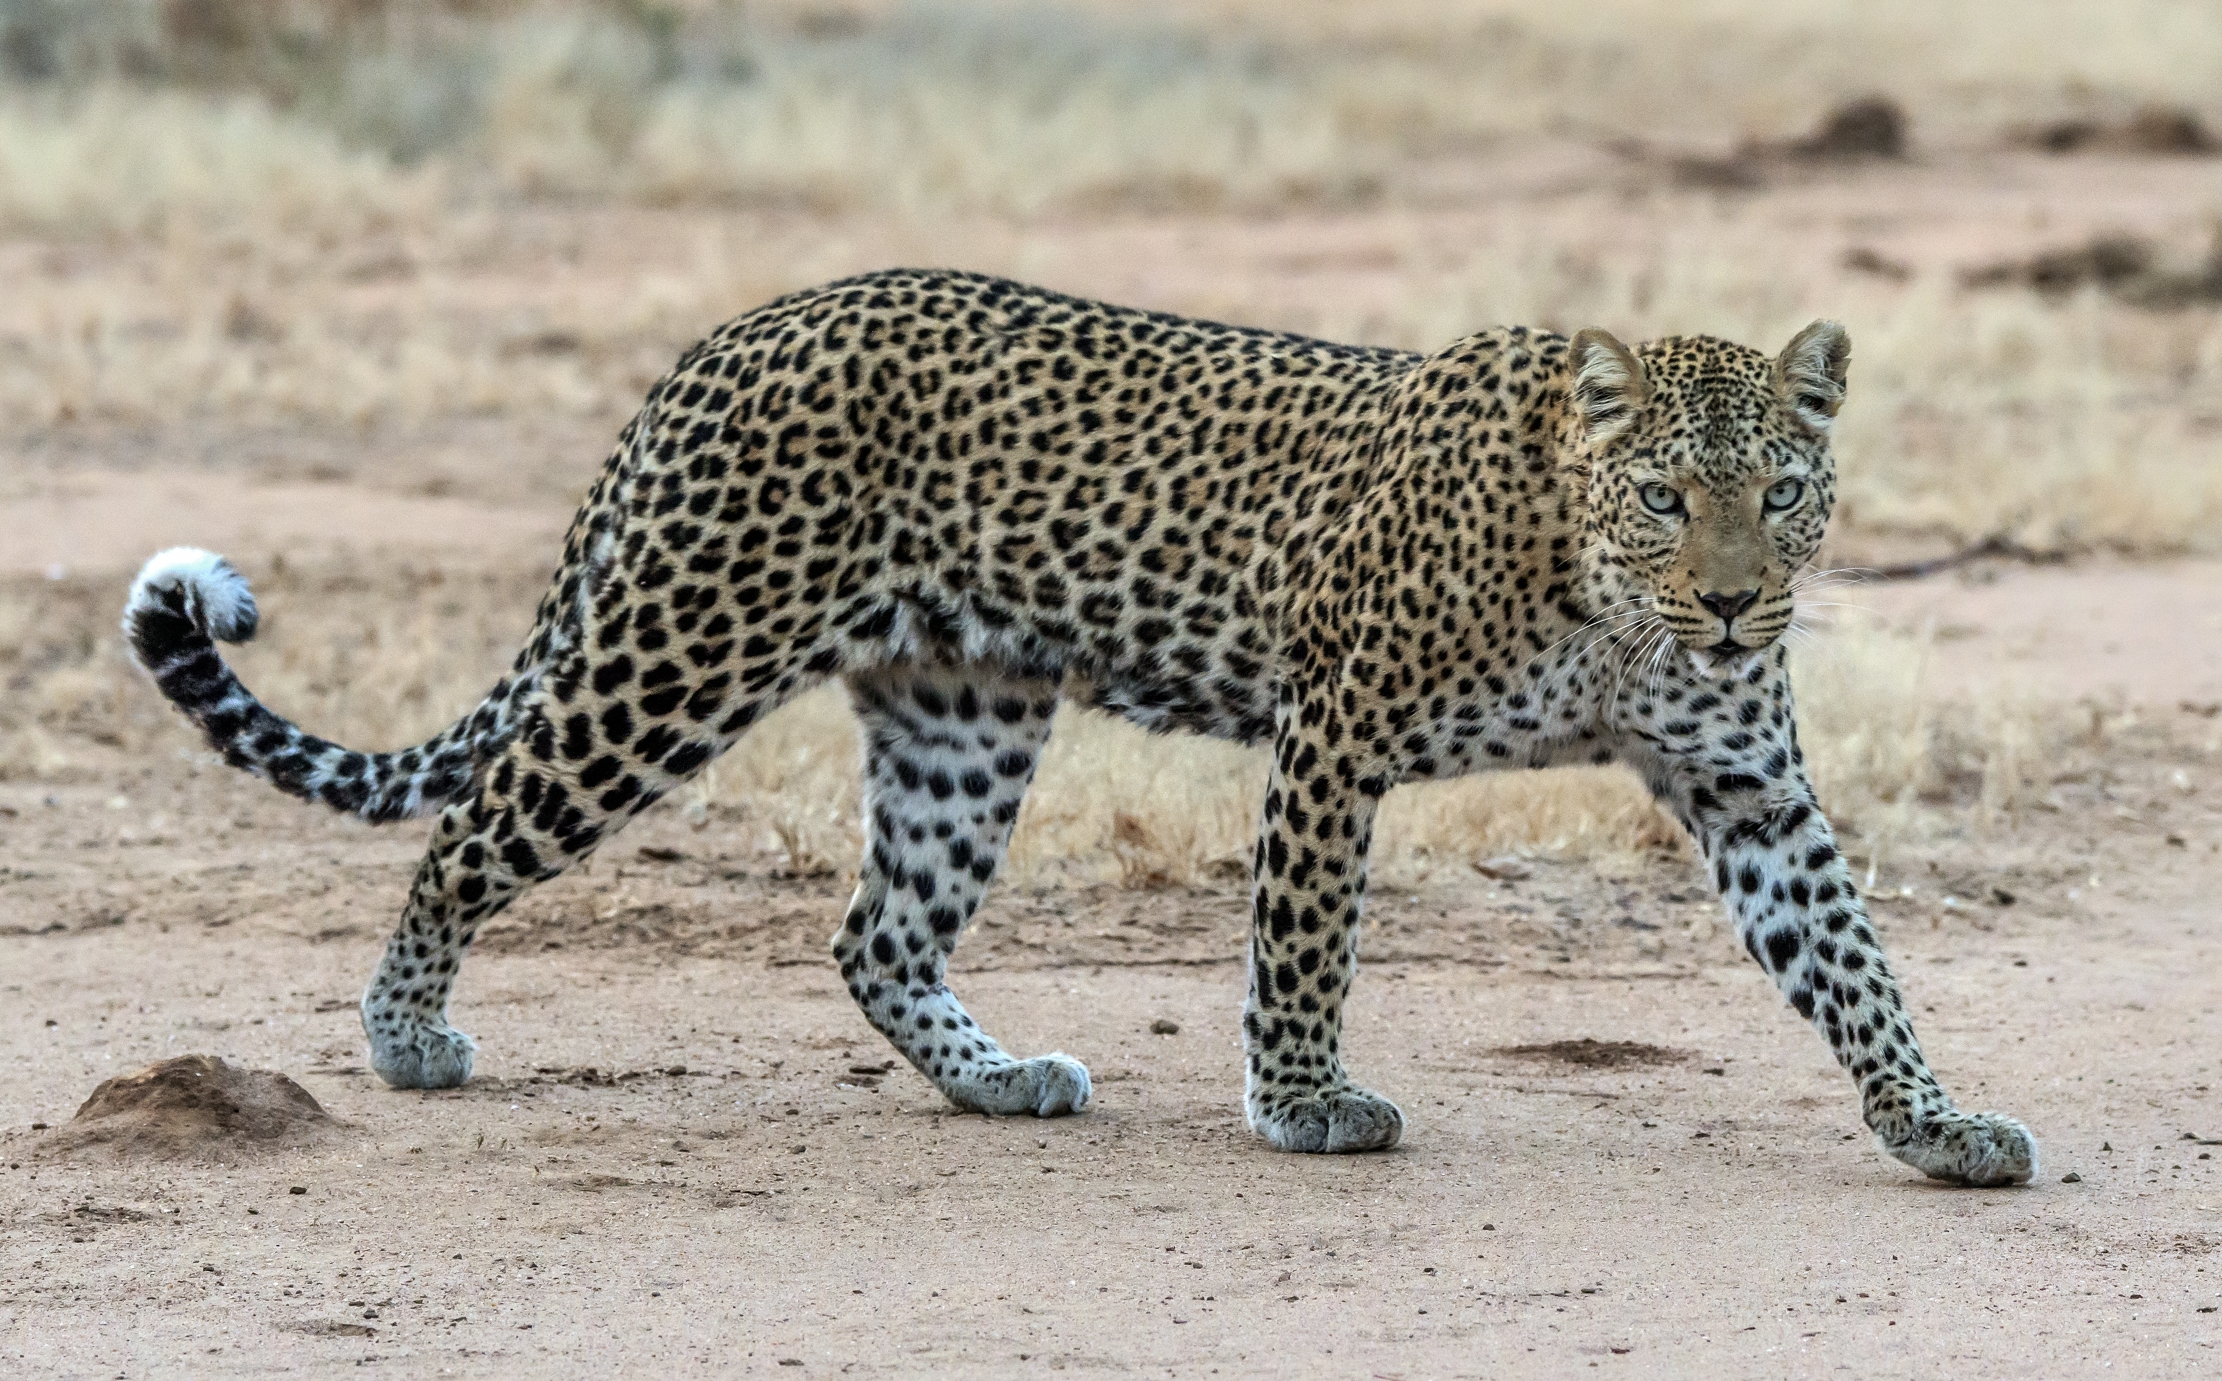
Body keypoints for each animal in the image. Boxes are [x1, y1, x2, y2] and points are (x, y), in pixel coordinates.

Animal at [123, 267, 2037, 1185]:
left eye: (1779, 492)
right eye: (1662, 496)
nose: (1732, 602)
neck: (1602, 600)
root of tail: (728, 334)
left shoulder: (1747, 784)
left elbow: (1850, 960)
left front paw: (1932, 1124)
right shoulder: (1336, 731)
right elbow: (1302, 944)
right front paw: (1302, 1104)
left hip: (961, 710)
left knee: (875, 930)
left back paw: (997, 1078)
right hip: (680, 650)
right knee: (472, 828)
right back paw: (404, 1036)